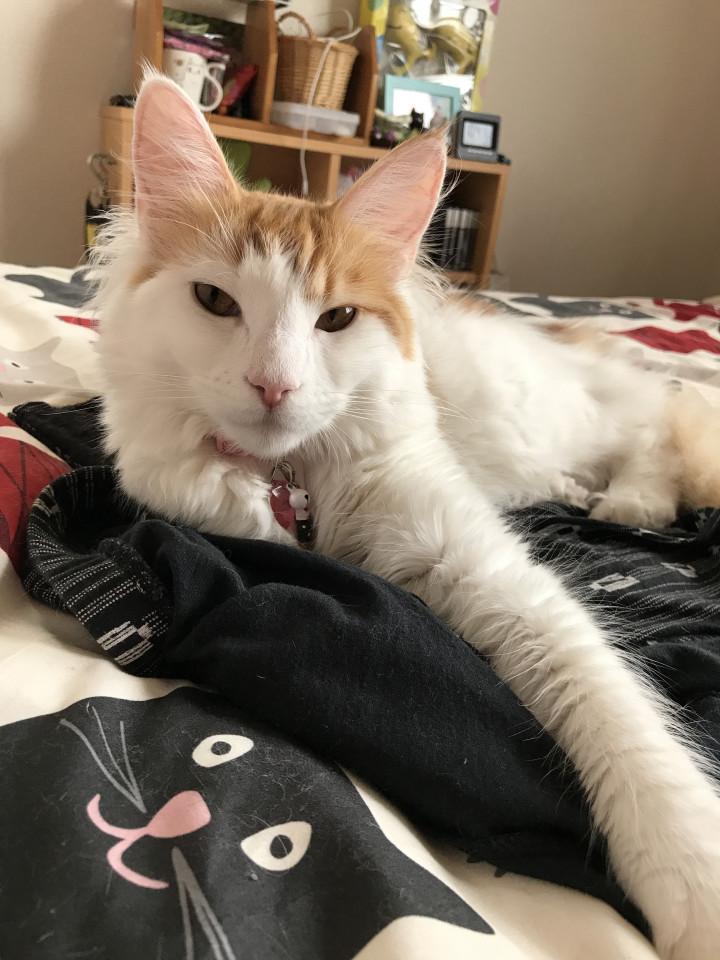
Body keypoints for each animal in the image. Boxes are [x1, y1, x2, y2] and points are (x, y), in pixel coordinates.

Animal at [93, 75, 720, 960]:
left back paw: (628, 497)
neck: (300, 481)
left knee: (663, 427)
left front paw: (694, 878)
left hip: (578, 410)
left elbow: (613, 710)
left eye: (336, 320)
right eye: (216, 301)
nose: (273, 386)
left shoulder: (478, 561)